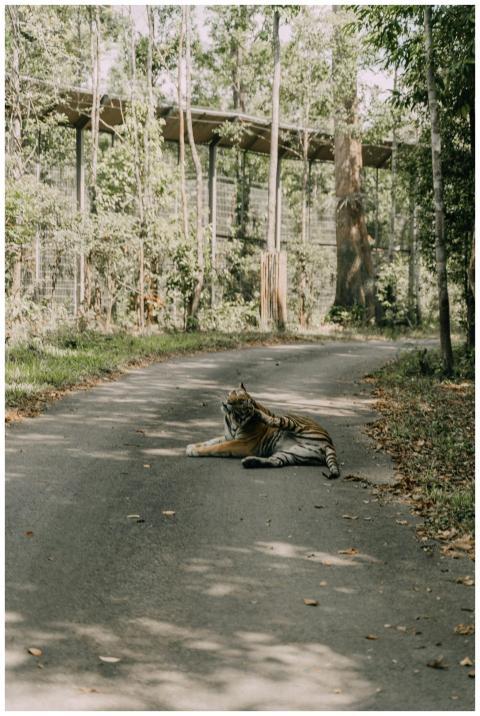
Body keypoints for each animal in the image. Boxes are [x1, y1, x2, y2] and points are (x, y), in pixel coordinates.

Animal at [186, 383, 340, 477]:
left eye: (241, 402)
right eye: (233, 393)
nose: (228, 402)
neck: (233, 418)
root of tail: (329, 443)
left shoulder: (242, 443)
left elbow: (217, 447)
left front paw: (194, 451)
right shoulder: (228, 436)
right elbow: (210, 441)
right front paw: (192, 446)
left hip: (293, 423)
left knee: (277, 420)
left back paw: (259, 415)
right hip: (292, 454)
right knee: (277, 462)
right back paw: (250, 462)